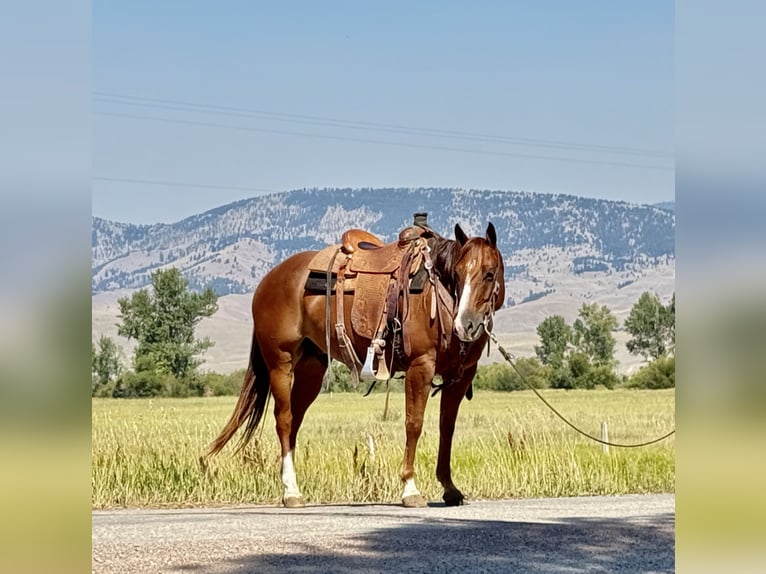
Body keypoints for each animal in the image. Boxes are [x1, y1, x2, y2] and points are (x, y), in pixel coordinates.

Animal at [204, 220, 505, 508]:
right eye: (458, 272)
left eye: (489, 273)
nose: (465, 325)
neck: (436, 294)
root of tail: (268, 280)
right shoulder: (420, 367)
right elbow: (414, 423)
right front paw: (410, 488)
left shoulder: (461, 376)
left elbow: (447, 427)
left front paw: (449, 487)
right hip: (281, 362)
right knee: (285, 420)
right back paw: (291, 492)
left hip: (311, 369)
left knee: (295, 420)